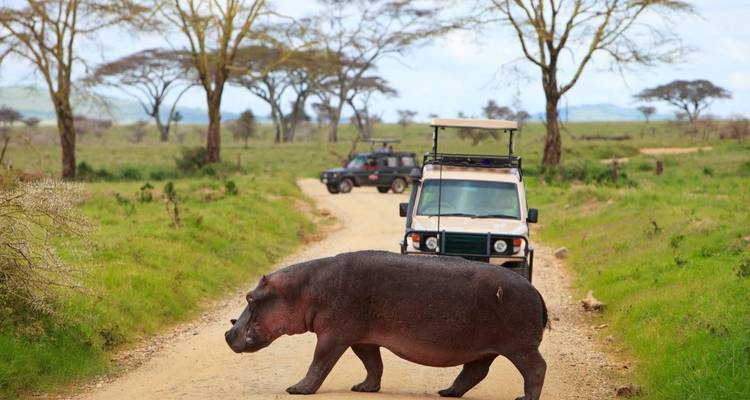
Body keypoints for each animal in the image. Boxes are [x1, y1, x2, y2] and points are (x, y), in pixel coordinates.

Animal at [225, 250, 548, 400]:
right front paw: (363, 388)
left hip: (520, 347)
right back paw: (446, 392)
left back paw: (524, 397)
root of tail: (536, 292)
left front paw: (296, 389)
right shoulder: (362, 338)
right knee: (475, 371)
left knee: (536, 368)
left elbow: (319, 362)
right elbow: (372, 364)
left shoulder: (333, 336)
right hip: (486, 349)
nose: (228, 332)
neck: (304, 289)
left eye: (250, 297)